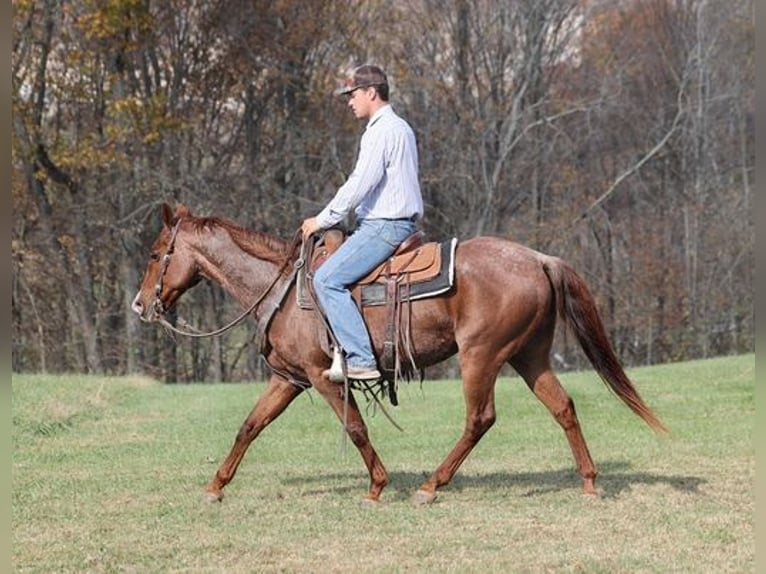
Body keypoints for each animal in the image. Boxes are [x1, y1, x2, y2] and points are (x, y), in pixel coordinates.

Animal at [130, 205, 664, 506]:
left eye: (156, 254)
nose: (139, 305)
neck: (282, 288)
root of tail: (538, 258)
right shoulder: (289, 379)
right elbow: (250, 426)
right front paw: (215, 486)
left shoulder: (323, 377)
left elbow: (355, 428)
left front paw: (377, 486)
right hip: (529, 357)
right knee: (563, 407)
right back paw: (589, 482)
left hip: (482, 356)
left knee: (480, 418)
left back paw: (431, 486)